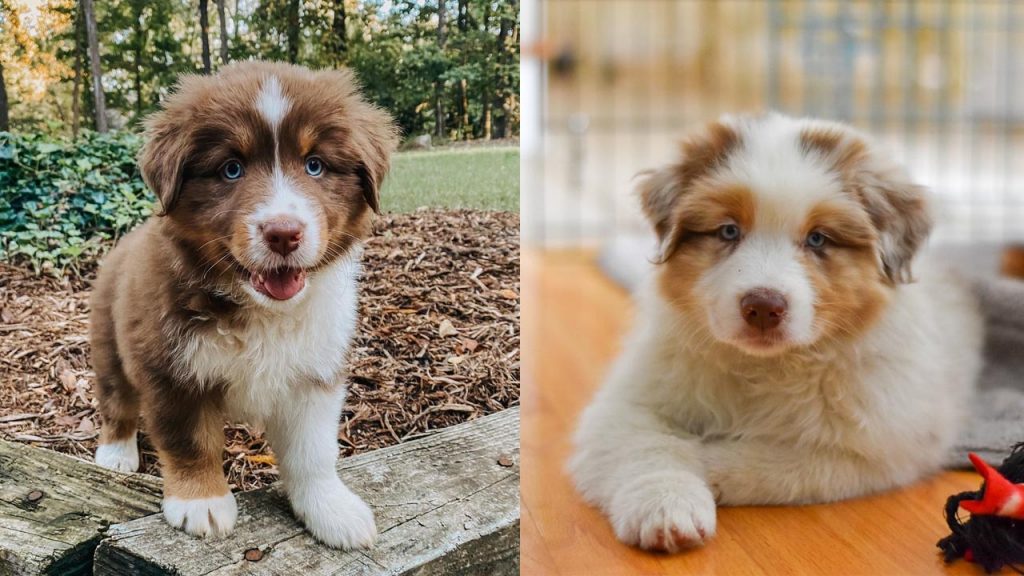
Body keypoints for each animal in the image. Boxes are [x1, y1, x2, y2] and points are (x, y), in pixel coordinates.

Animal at [90, 59, 397, 545]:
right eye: (231, 169)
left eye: (315, 165)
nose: (283, 233)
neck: (261, 310)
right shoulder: (170, 371)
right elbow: (190, 441)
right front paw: (202, 502)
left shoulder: (314, 373)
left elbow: (313, 452)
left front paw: (332, 510)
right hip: (111, 345)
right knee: (116, 401)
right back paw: (116, 454)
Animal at [569, 113, 983, 553]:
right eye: (728, 231)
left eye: (818, 239)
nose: (764, 307)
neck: (765, 366)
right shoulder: (630, 402)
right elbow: (651, 447)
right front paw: (667, 510)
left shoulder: (879, 446)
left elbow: (783, 461)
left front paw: (706, 462)